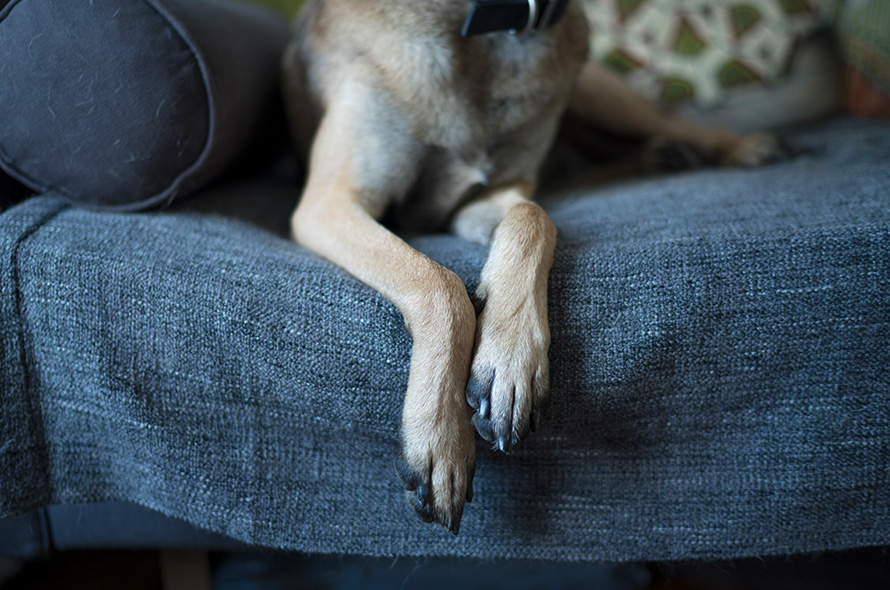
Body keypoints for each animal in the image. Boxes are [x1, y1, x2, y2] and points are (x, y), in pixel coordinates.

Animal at [282, 0, 776, 536]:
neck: (481, 35)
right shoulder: (330, 204)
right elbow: (441, 284)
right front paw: (440, 436)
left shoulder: (497, 191)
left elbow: (532, 214)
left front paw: (511, 355)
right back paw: (666, 155)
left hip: (598, 95)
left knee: (658, 126)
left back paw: (733, 146)